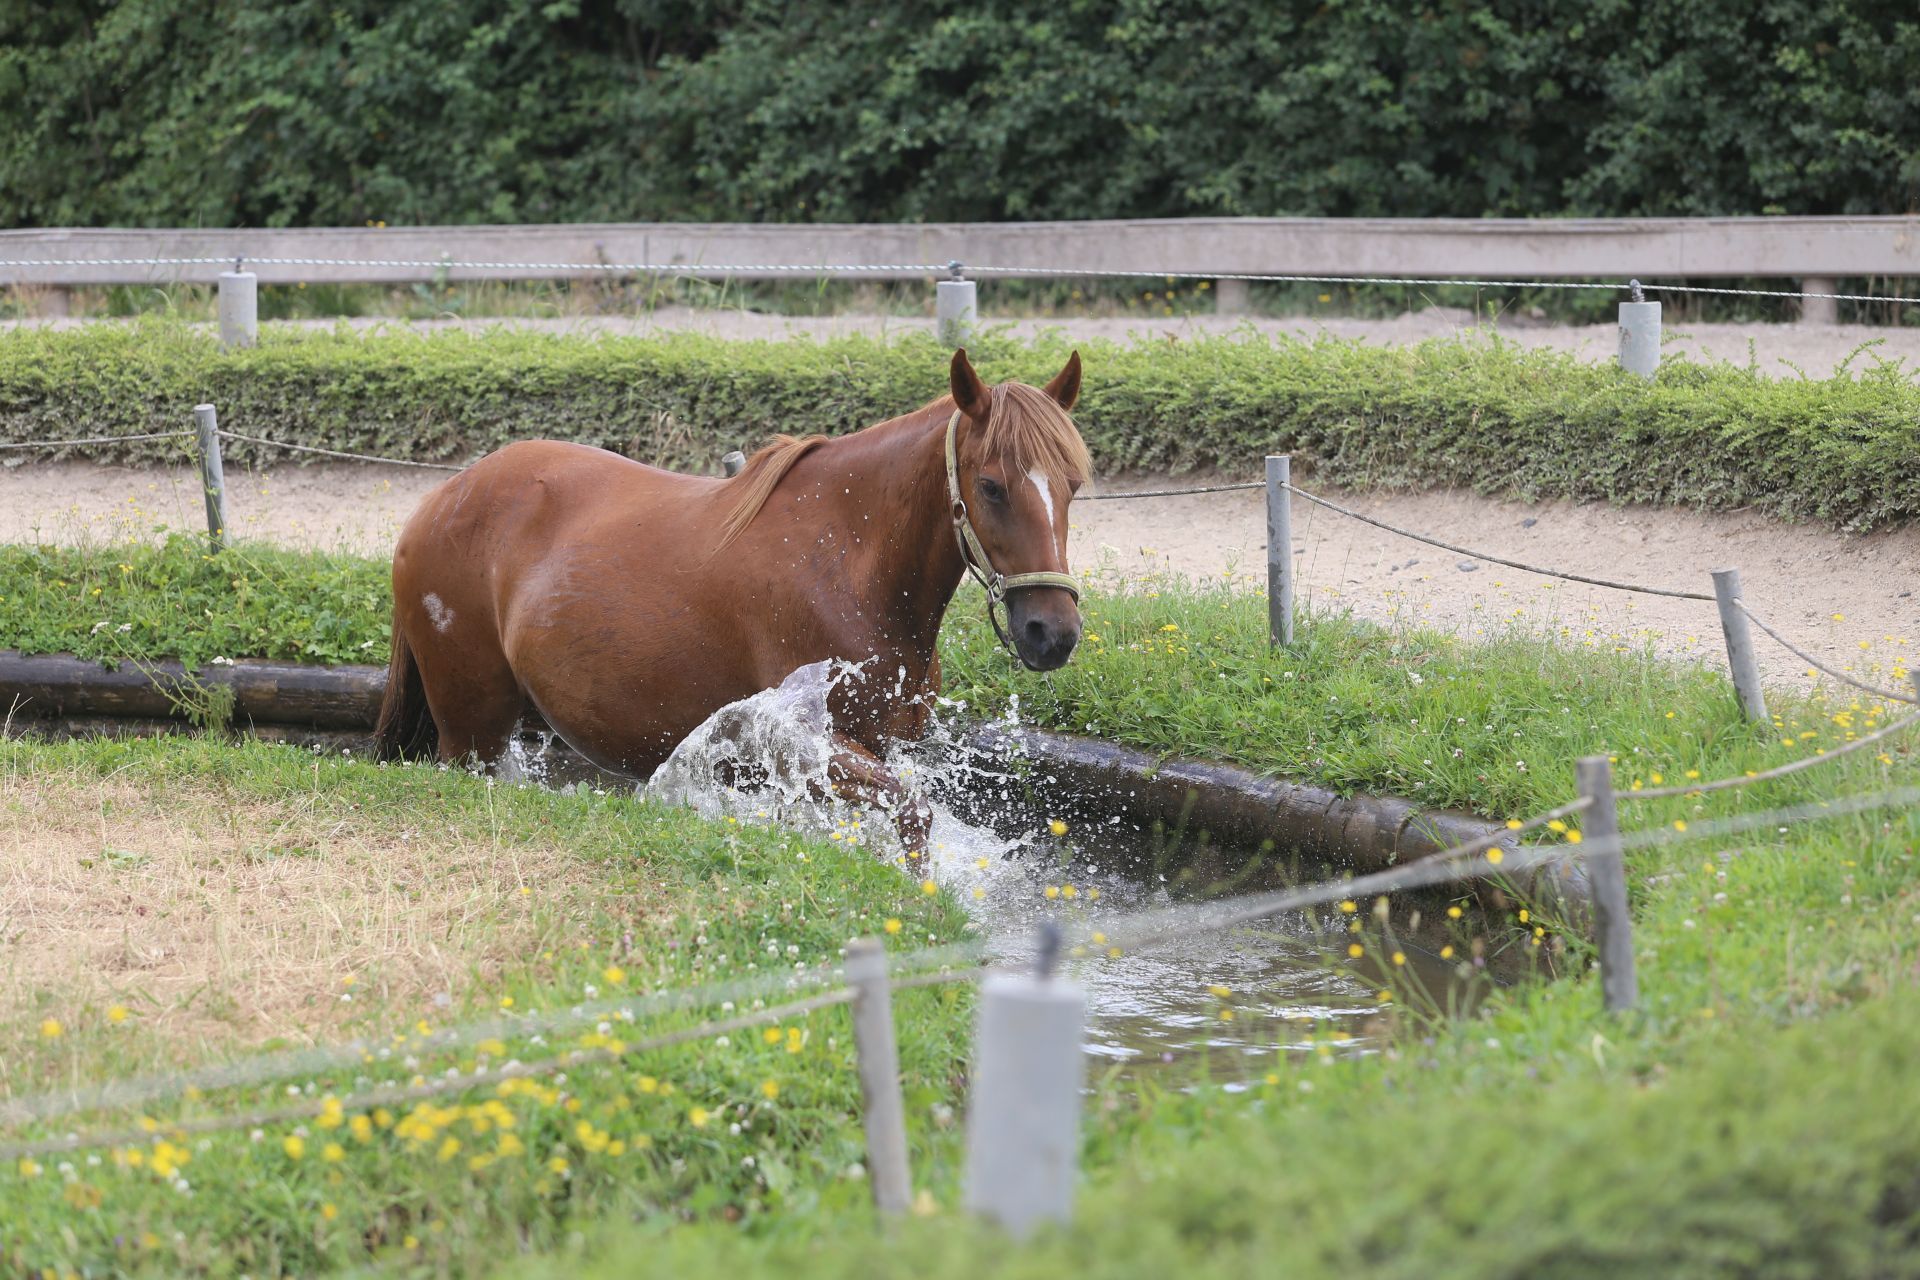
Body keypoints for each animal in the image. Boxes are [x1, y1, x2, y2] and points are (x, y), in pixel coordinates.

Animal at [373, 348, 1090, 855]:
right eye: (991, 485)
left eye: (1073, 485)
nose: (1052, 632)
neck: (848, 562)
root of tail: (437, 504)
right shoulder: (805, 741)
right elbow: (915, 814)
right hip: (471, 732)